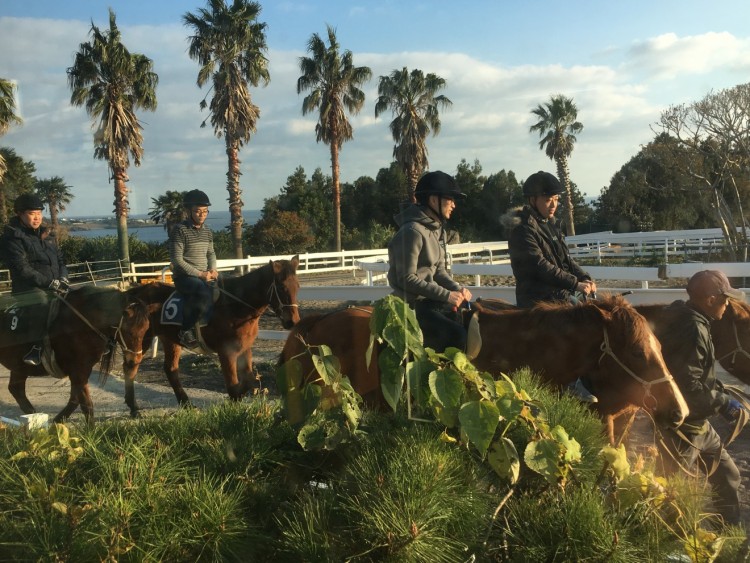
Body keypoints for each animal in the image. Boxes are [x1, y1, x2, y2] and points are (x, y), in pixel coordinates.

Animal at [0, 285, 154, 423]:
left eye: (146, 329)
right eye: (129, 332)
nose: (135, 360)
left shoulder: (82, 370)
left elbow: (75, 399)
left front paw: (57, 421)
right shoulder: (77, 370)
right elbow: (86, 404)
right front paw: (91, 432)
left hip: (19, 366)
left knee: (16, 389)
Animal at [122, 256, 300, 416]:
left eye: (297, 286)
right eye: (282, 287)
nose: (292, 321)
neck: (235, 306)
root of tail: (137, 292)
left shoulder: (244, 348)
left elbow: (249, 378)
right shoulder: (226, 352)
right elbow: (233, 385)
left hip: (170, 340)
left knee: (170, 369)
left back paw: (186, 403)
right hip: (141, 339)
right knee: (130, 367)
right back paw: (134, 407)